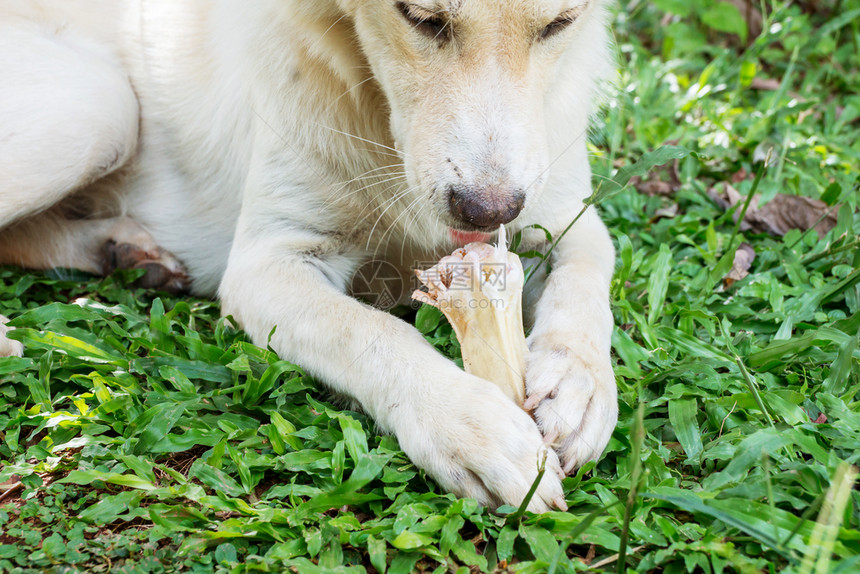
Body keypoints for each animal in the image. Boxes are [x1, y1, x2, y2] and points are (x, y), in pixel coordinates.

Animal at [0, 0, 620, 512]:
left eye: (559, 24)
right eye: (421, 18)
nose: (486, 213)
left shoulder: (564, 214)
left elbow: (590, 276)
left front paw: (579, 387)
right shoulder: (266, 264)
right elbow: (373, 332)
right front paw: (469, 425)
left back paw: (123, 250)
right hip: (100, 105)